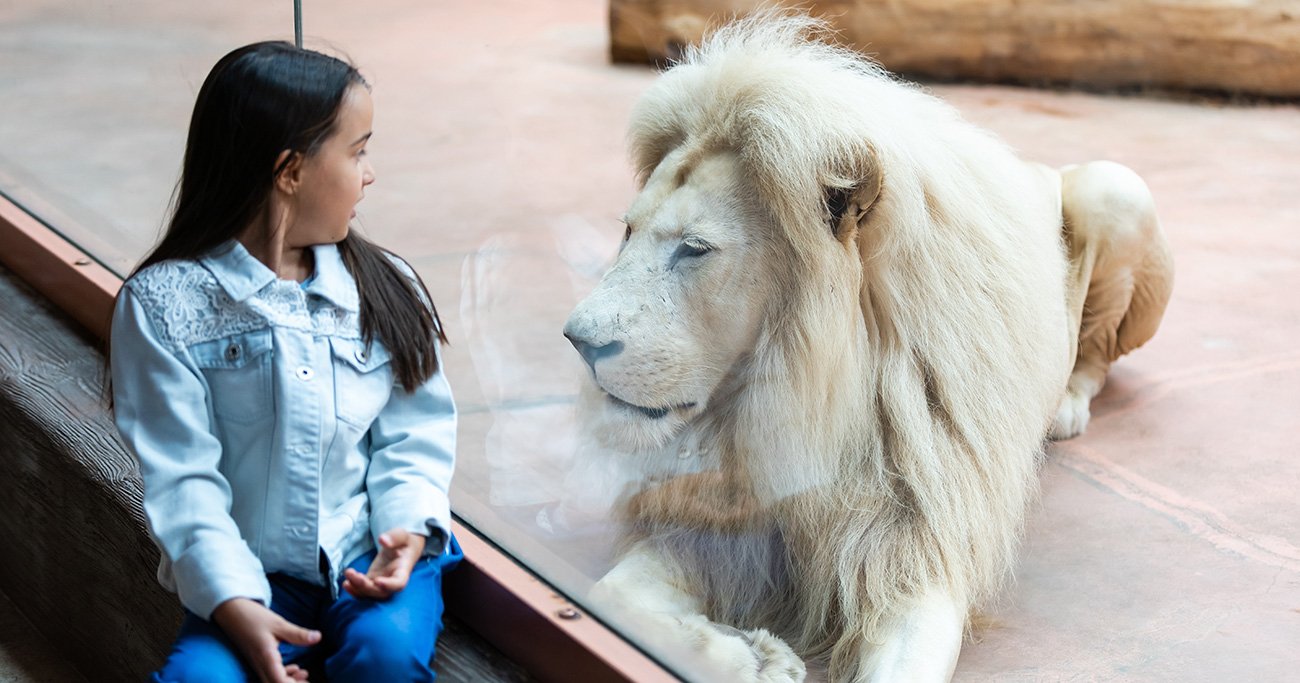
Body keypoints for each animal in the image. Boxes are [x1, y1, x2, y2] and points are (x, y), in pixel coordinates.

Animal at [564, 13, 1175, 676]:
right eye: (628, 231)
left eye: (694, 249)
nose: (577, 340)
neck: (794, 405)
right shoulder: (711, 524)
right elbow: (612, 595)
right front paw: (754, 656)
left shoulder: (914, 552)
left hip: (1115, 190)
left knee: (1096, 353)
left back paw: (1065, 408)